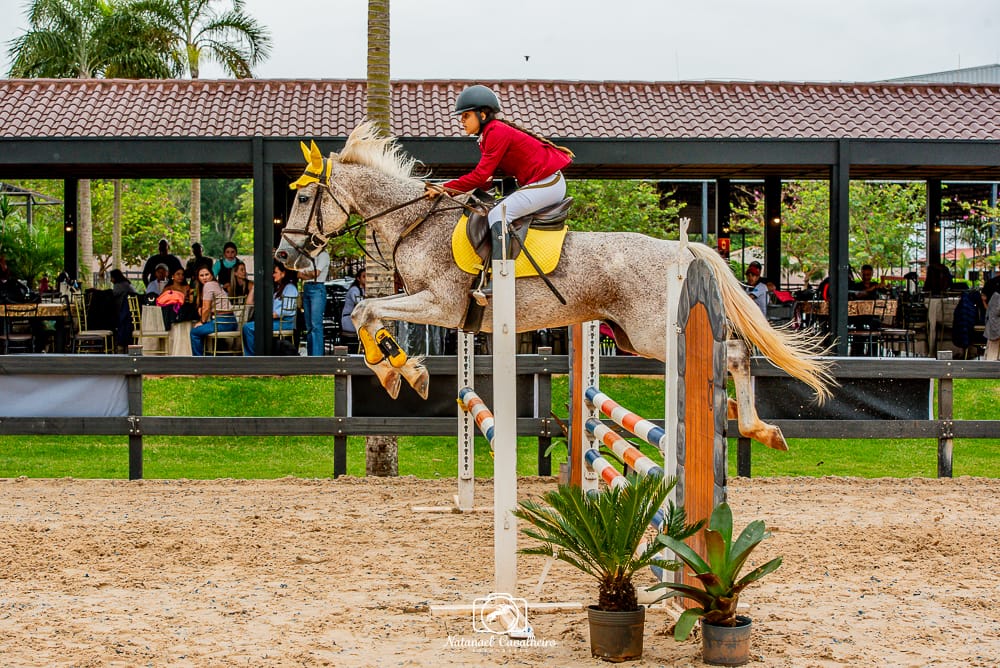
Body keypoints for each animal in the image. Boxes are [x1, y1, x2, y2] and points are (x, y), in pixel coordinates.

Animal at [278, 123, 832, 452]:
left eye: (304, 198)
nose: (285, 257)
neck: (415, 222)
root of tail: (682, 251)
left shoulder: (441, 304)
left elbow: (366, 311)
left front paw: (402, 373)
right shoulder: (429, 305)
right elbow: (365, 314)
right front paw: (399, 369)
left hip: (653, 332)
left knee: (735, 353)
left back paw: (758, 427)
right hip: (631, 337)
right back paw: (741, 416)